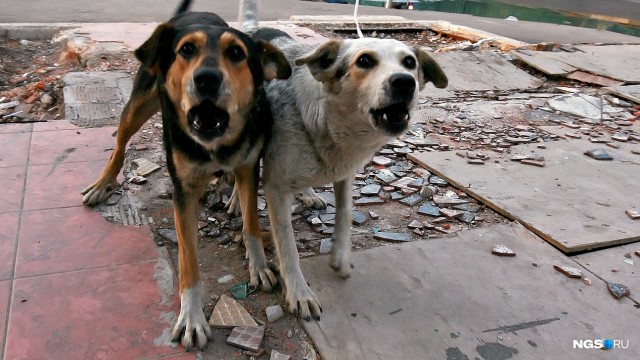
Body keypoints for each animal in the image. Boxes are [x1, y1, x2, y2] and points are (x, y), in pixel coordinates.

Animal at [80, 0, 290, 350]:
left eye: (236, 53)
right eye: (187, 50)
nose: (206, 79)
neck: (216, 143)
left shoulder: (250, 164)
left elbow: (251, 224)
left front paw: (259, 265)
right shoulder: (184, 191)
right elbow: (188, 261)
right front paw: (191, 317)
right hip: (138, 104)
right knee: (120, 144)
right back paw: (103, 183)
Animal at [238, 0, 448, 320]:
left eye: (410, 62)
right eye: (364, 61)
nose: (405, 82)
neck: (327, 123)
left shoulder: (345, 173)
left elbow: (346, 213)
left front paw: (340, 257)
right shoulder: (275, 189)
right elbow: (288, 247)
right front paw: (299, 293)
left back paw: (309, 193)